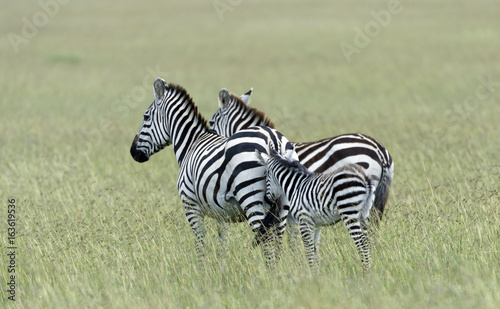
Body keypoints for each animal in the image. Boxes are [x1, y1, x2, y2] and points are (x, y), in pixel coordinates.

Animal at [131, 78, 298, 266]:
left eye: (146, 117)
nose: (132, 152)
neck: (191, 143)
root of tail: (274, 140)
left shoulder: (190, 204)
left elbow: (200, 241)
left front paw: (201, 269)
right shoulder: (221, 212)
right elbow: (222, 242)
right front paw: (222, 267)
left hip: (252, 199)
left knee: (267, 241)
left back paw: (268, 272)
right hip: (282, 207)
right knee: (278, 241)